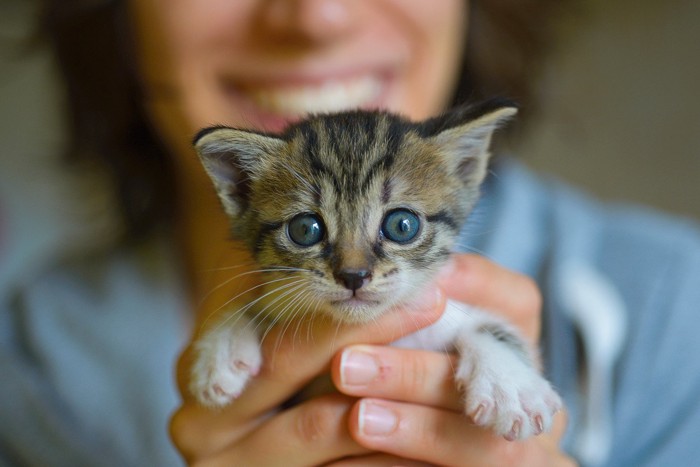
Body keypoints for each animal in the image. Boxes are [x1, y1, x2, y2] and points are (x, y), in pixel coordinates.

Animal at [189, 100, 560, 440]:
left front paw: (510, 386)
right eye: (305, 229)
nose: (354, 276)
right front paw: (223, 344)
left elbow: (487, 326)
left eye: (402, 225)